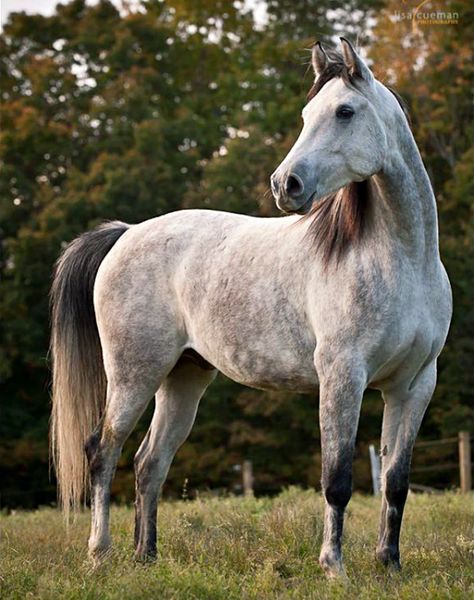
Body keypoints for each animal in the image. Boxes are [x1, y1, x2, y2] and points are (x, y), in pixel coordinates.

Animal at [51, 36, 452, 576]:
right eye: (306, 115)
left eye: (345, 111)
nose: (287, 185)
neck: (402, 259)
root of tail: (126, 233)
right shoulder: (343, 377)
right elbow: (337, 479)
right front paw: (334, 567)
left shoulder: (413, 385)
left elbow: (395, 482)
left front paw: (389, 565)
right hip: (134, 374)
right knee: (102, 451)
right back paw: (99, 555)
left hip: (184, 378)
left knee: (149, 464)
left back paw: (146, 557)